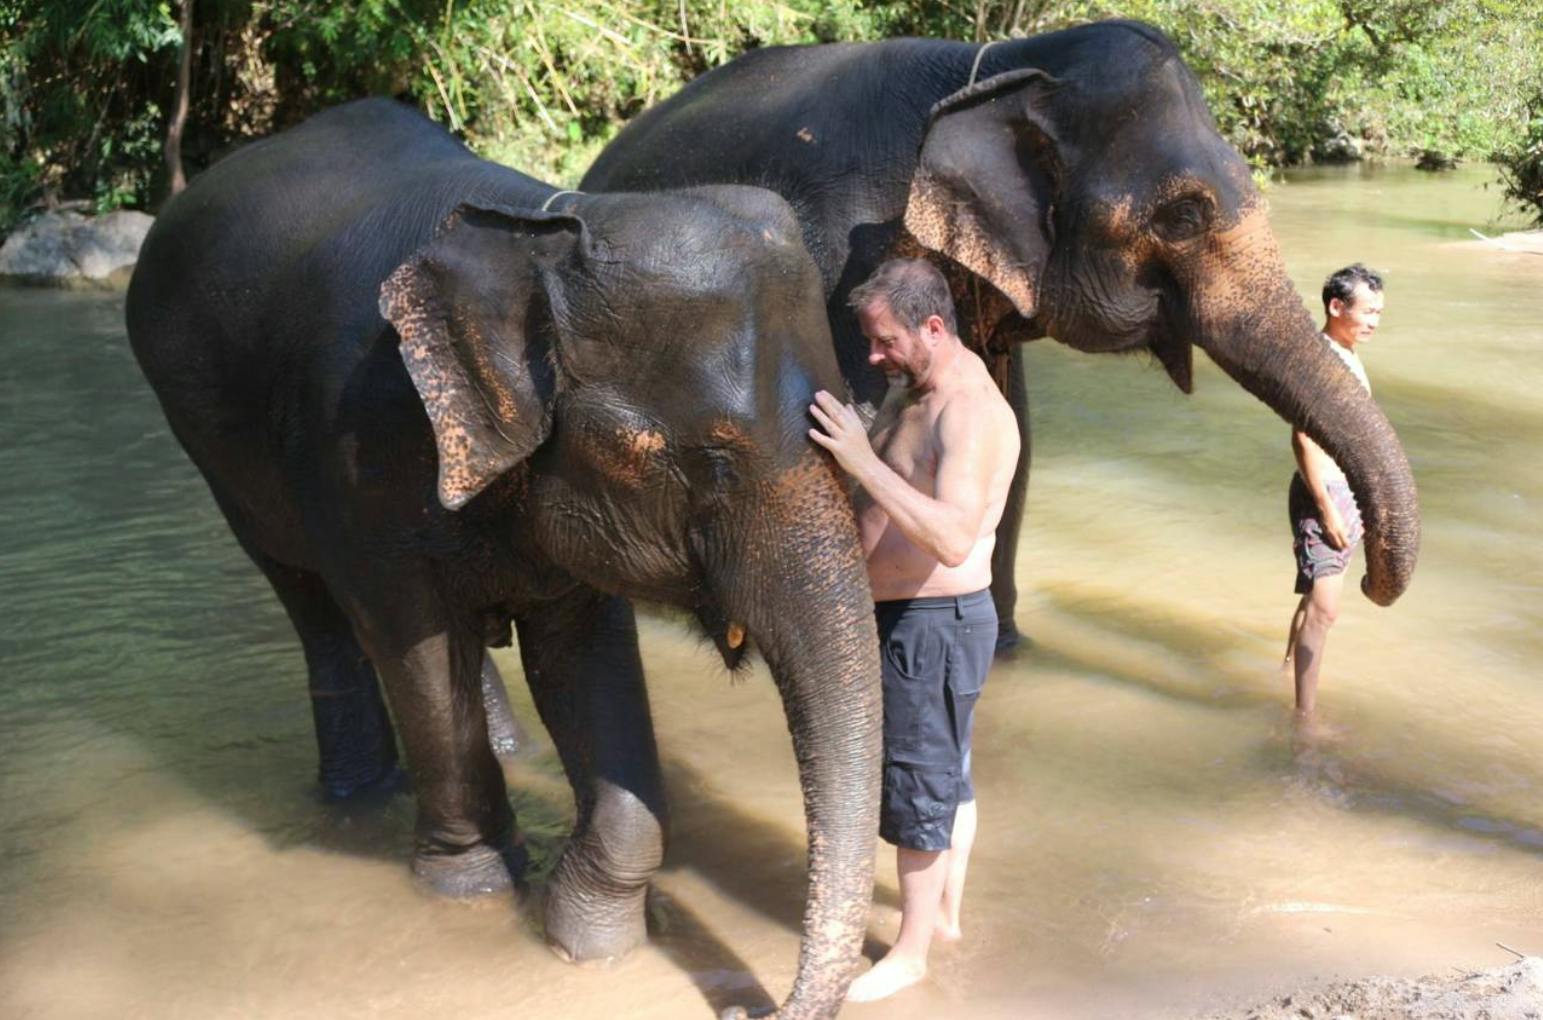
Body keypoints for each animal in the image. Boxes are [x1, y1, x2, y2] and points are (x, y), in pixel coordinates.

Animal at [126, 98, 880, 1020]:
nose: (747, 1006)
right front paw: (473, 889)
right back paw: (358, 792)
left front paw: (588, 942)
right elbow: (411, 641)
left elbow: (581, 662)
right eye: (710, 461)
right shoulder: (357, 452)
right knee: (314, 606)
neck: (544, 230)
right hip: (209, 446)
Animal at [583, 18, 1421, 639]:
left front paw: (1011, 649)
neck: (997, 68)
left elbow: (1012, 437)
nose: (1357, 571)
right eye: (1182, 216)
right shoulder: (834, 252)